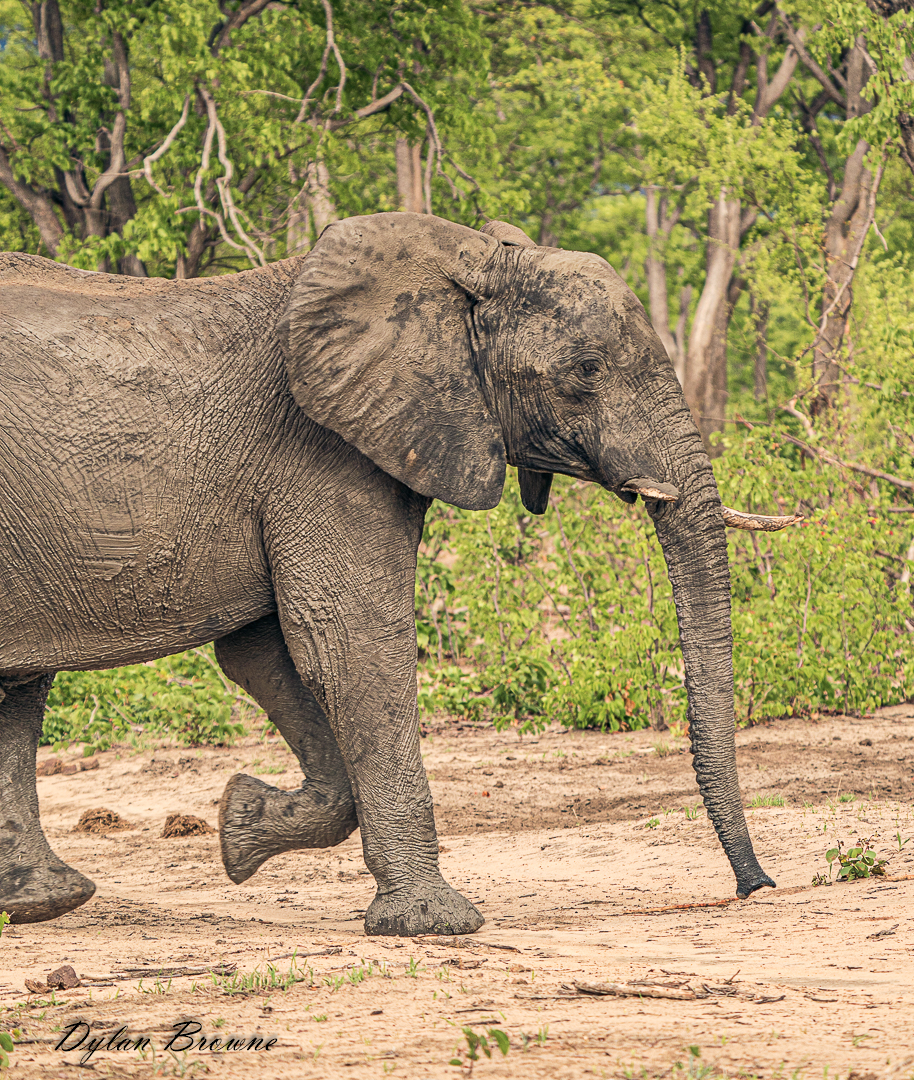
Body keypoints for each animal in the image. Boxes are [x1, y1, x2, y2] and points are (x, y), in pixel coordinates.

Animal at [0, 212, 796, 936]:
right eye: (587, 371)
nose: (756, 886)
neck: (465, 260)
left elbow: (269, 654)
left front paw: (239, 825)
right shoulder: (320, 450)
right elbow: (346, 643)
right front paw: (436, 924)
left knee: (19, 693)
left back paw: (44, 901)